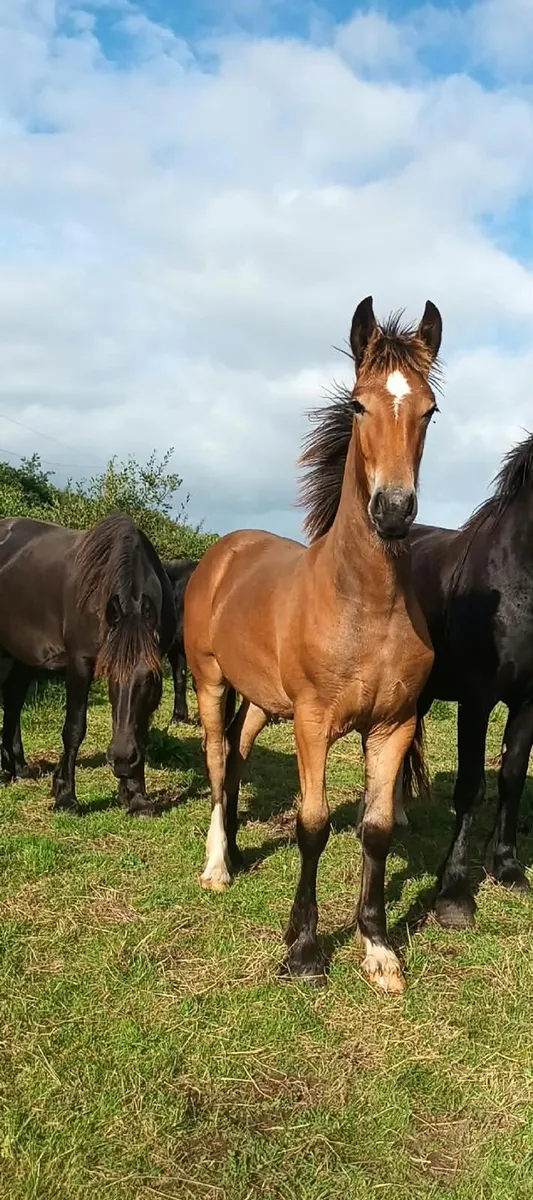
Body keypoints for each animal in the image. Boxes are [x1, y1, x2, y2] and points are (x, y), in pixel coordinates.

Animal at [0, 513, 176, 814]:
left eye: (150, 677)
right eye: (109, 674)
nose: (121, 759)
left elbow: (141, 729)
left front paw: (136, 796)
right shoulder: (80, 662)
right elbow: (74, 728)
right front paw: (65, 796)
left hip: (21, 656)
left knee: (13, 701)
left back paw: (17, 768)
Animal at [184, 296, 443, 994]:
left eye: (430, 410)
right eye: (356, 404)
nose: (393, 511)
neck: (364, 604)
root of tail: (226, 549)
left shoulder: (392, 725)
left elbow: (375, 830)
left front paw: (377, 947)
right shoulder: (312, 722)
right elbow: (314, 824)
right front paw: (302, 950)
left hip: (258, 700)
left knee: (238, 757)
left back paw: (237, 848)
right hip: (211, 682)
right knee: (216, 760)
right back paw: (217, 865)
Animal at [403, 433, 533, 930]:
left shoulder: (529, 702)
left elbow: (512, 778)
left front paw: (508, 867)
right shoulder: (477, 700)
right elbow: (472, 786)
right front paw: (454, 893)